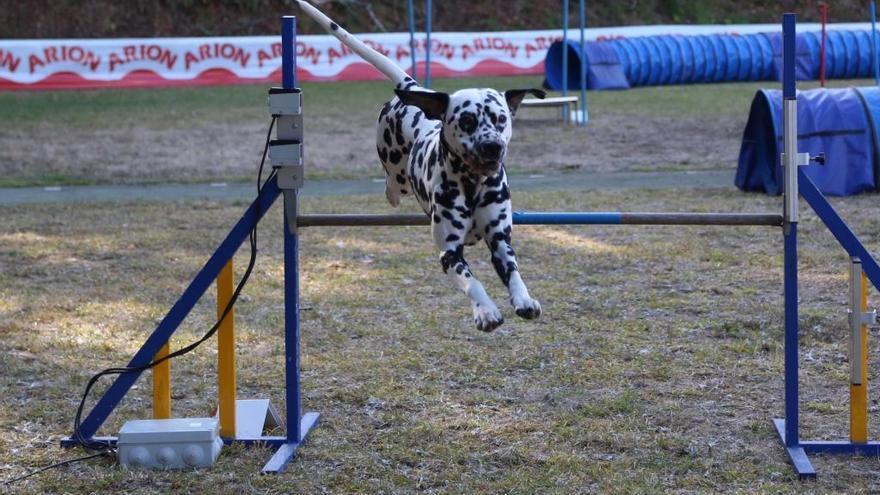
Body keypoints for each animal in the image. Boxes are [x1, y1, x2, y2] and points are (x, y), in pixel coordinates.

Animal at [296, 1, 544, 334]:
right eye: (467, 121)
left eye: (500, 119)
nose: (493, 146)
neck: (472, 184)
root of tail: (412, 89)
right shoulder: (449, 253)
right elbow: (472, 282)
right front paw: (486, 311)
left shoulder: (501, 242)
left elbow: (514, 273)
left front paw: (524, 299)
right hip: (395, 171)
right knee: (391, 185)